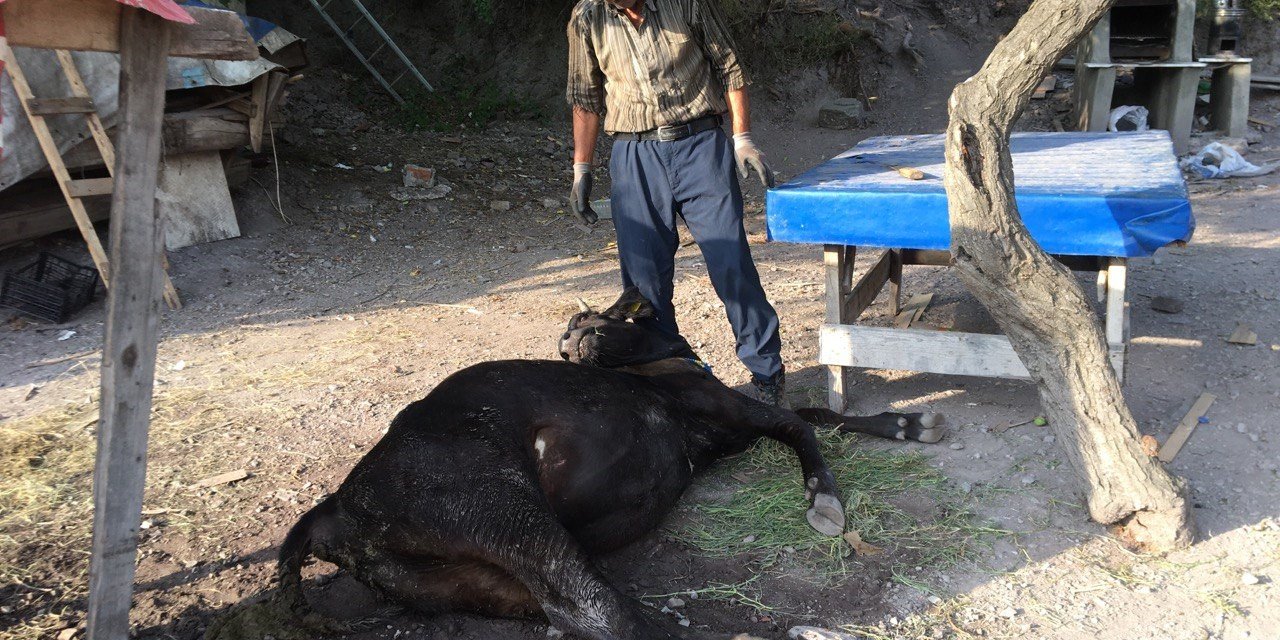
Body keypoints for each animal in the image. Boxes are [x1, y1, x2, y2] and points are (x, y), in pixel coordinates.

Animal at [209, 290, 947, 640]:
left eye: (587, 321)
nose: (570, 346)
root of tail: (333, 509)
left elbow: (815, 413)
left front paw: (906, 424)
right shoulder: (724, 410)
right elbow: (801, 422)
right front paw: (824, 498)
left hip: (480, 580)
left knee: (582, 614)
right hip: (507, 513)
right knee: (612, 615)